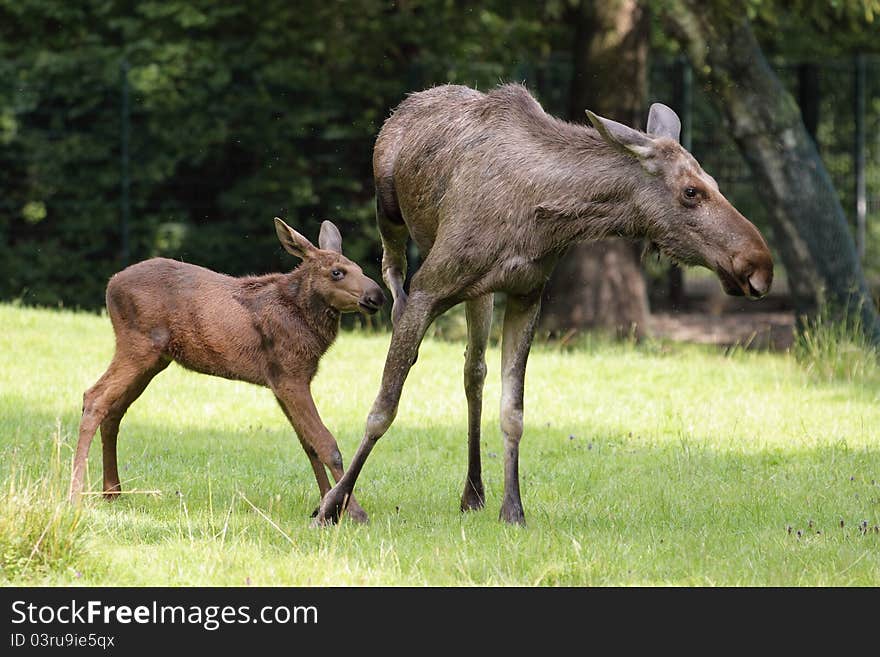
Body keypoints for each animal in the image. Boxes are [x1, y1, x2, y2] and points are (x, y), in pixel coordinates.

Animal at [69, 220, 384, 524]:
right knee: (94, 397)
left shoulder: (281, 381)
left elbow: (308, 445)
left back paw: (112, 491)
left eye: (360, 268)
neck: (308, 325)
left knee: (114, 410)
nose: (377, 295)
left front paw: (325, 507)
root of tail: (110, 285)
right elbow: (326, 443)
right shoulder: (289, 375)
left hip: (154, 360)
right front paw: (353, 512)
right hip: (138, 347)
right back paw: (76, 495)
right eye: (337, 272)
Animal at [314, 83, 768, 524]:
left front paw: (512, 508)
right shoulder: (431, 285)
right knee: (391, 265)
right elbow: (382, 409)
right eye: (692, 191)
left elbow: (513, 412)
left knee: (473, 370)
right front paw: (333, 505)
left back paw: (473, 491)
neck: (544, 217)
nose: (759, 263)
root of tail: (406, 107)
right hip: (388, 208)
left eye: (714, 182)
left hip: (479, 293)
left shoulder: (526, 292)